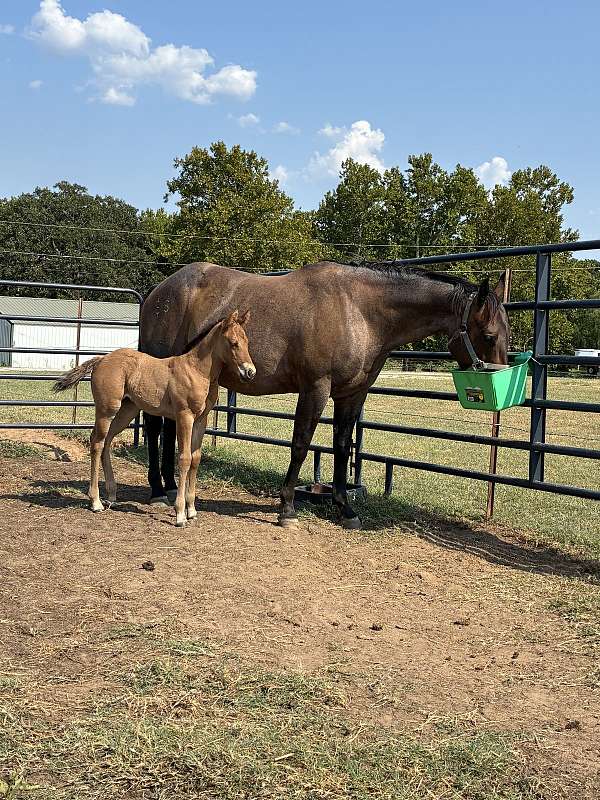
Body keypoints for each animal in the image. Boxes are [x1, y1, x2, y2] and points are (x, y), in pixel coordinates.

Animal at [53, 310, 255, 526]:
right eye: (233, 343)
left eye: (247, 342)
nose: (250, 372)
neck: (197, 370)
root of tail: (101, 359)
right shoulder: (184, 416)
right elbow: (184, 459)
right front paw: (180, 514)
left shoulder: (201, 420)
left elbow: (195, 459)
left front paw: (192, 510)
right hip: (107, 410)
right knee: (97, 443)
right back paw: (96, 502)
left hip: (127, 411)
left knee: (106, 441)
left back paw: (112, 496)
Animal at [139, 261, 510, 529]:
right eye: (490, 335)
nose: (504, 387)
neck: (358, 310)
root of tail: (159, 292)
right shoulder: (316, 388)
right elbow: (301, 445)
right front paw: (287, 508)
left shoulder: (352, 394)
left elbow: (343, 448)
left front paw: (345, 509)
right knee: (156, 428)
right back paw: (158, 489)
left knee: (167, 430)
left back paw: (169, 485)